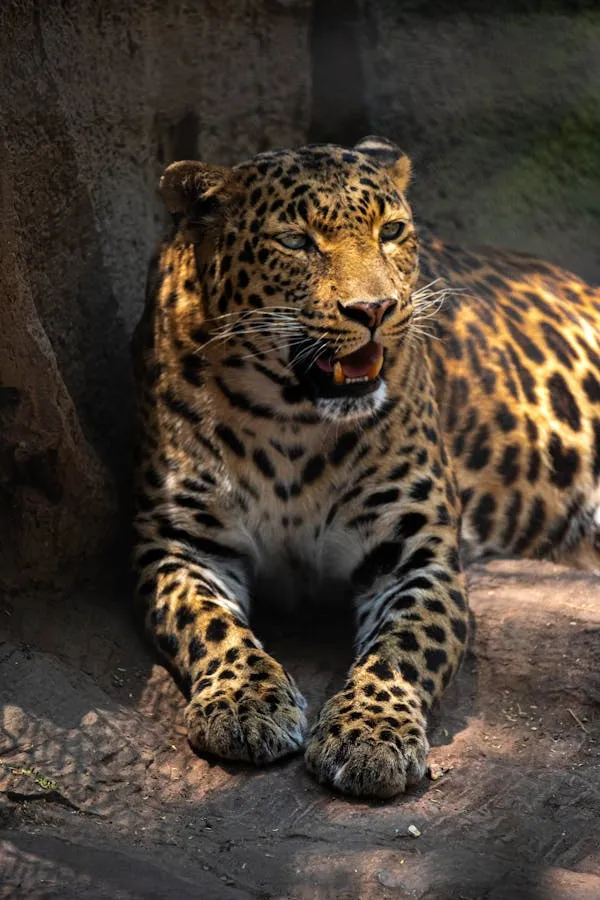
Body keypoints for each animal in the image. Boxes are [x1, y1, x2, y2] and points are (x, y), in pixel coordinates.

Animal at [132, 135, 600, 799]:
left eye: (392, 231)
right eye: (295, 241)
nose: (374, 309)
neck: (291, 425)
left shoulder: (416, 556)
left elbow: (403, 645)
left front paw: (370, 734)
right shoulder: (181, 543)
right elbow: (210, 624)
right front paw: (246, 702)